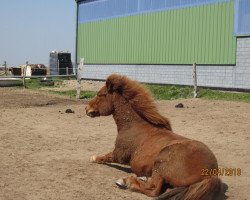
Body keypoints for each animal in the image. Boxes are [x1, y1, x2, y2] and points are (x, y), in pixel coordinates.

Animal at [85, 74, 223, 199]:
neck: (132, 125)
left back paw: (127, 182)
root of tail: (211, 174)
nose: (86, 108)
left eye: (100, 95)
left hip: (161, 161)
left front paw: (93, 158)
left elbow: (105, 157)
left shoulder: (119, 154)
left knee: (153, 189)